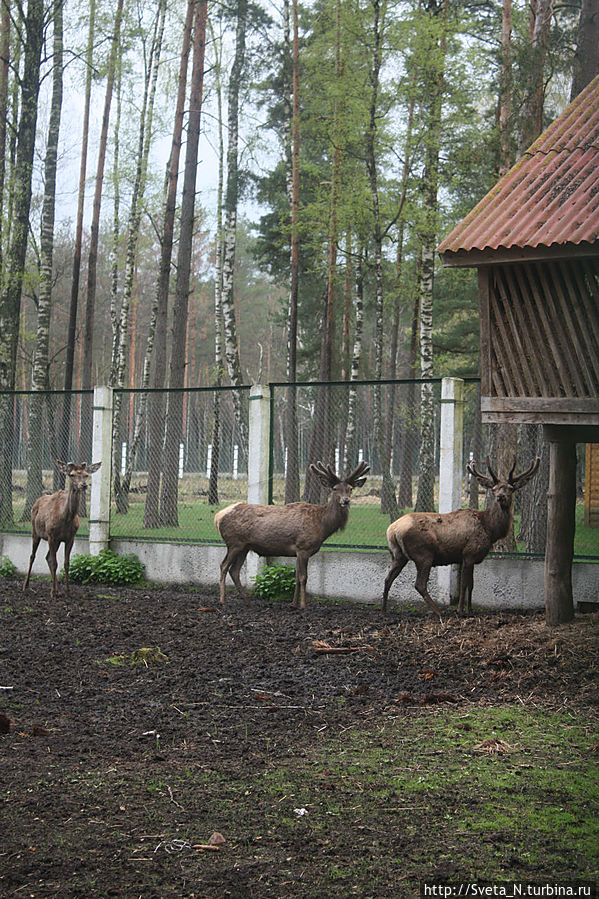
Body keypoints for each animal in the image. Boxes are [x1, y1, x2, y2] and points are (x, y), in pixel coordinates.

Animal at [22, 464, 101, 596]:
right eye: (72, 474)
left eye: (86, 475)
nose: (84, 485)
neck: (65, 518)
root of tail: (37, 501)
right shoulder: (51, 536)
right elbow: (55, 563)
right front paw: (52, 592)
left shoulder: (70, 538)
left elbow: (66, 564)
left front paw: (68, 591)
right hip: (35, 531)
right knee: (33, 556)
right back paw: (26, 586)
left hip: (57, 540)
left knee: (47, 557)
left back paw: (59, 589)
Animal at [213, 464, 368, 612]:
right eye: (335, 488)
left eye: (350, 488)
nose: (346, 501)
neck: (322, 526)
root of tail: (218, 517)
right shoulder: (304, 547)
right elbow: (304, 578)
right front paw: (303, 605)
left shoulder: (297, 551)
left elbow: (297, 577)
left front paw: (294, 604)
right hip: (234, 543)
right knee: (224, 566)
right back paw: (223, 600)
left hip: (244, 547)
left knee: (234, 571)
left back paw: (247, 602)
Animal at [384, 458, 544, 620]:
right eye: (494, 489)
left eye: (510, 488)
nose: (500, 497)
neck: (490, 529)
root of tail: (392, 530)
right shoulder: (469, 554)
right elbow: (465, 585)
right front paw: (461, 610)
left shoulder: (465, 558)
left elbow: (471, 585)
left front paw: (470, 609)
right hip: (423, 555)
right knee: (419, 584)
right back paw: (438, 611)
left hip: (398, 555)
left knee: (388, 579)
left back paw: (384, 610)